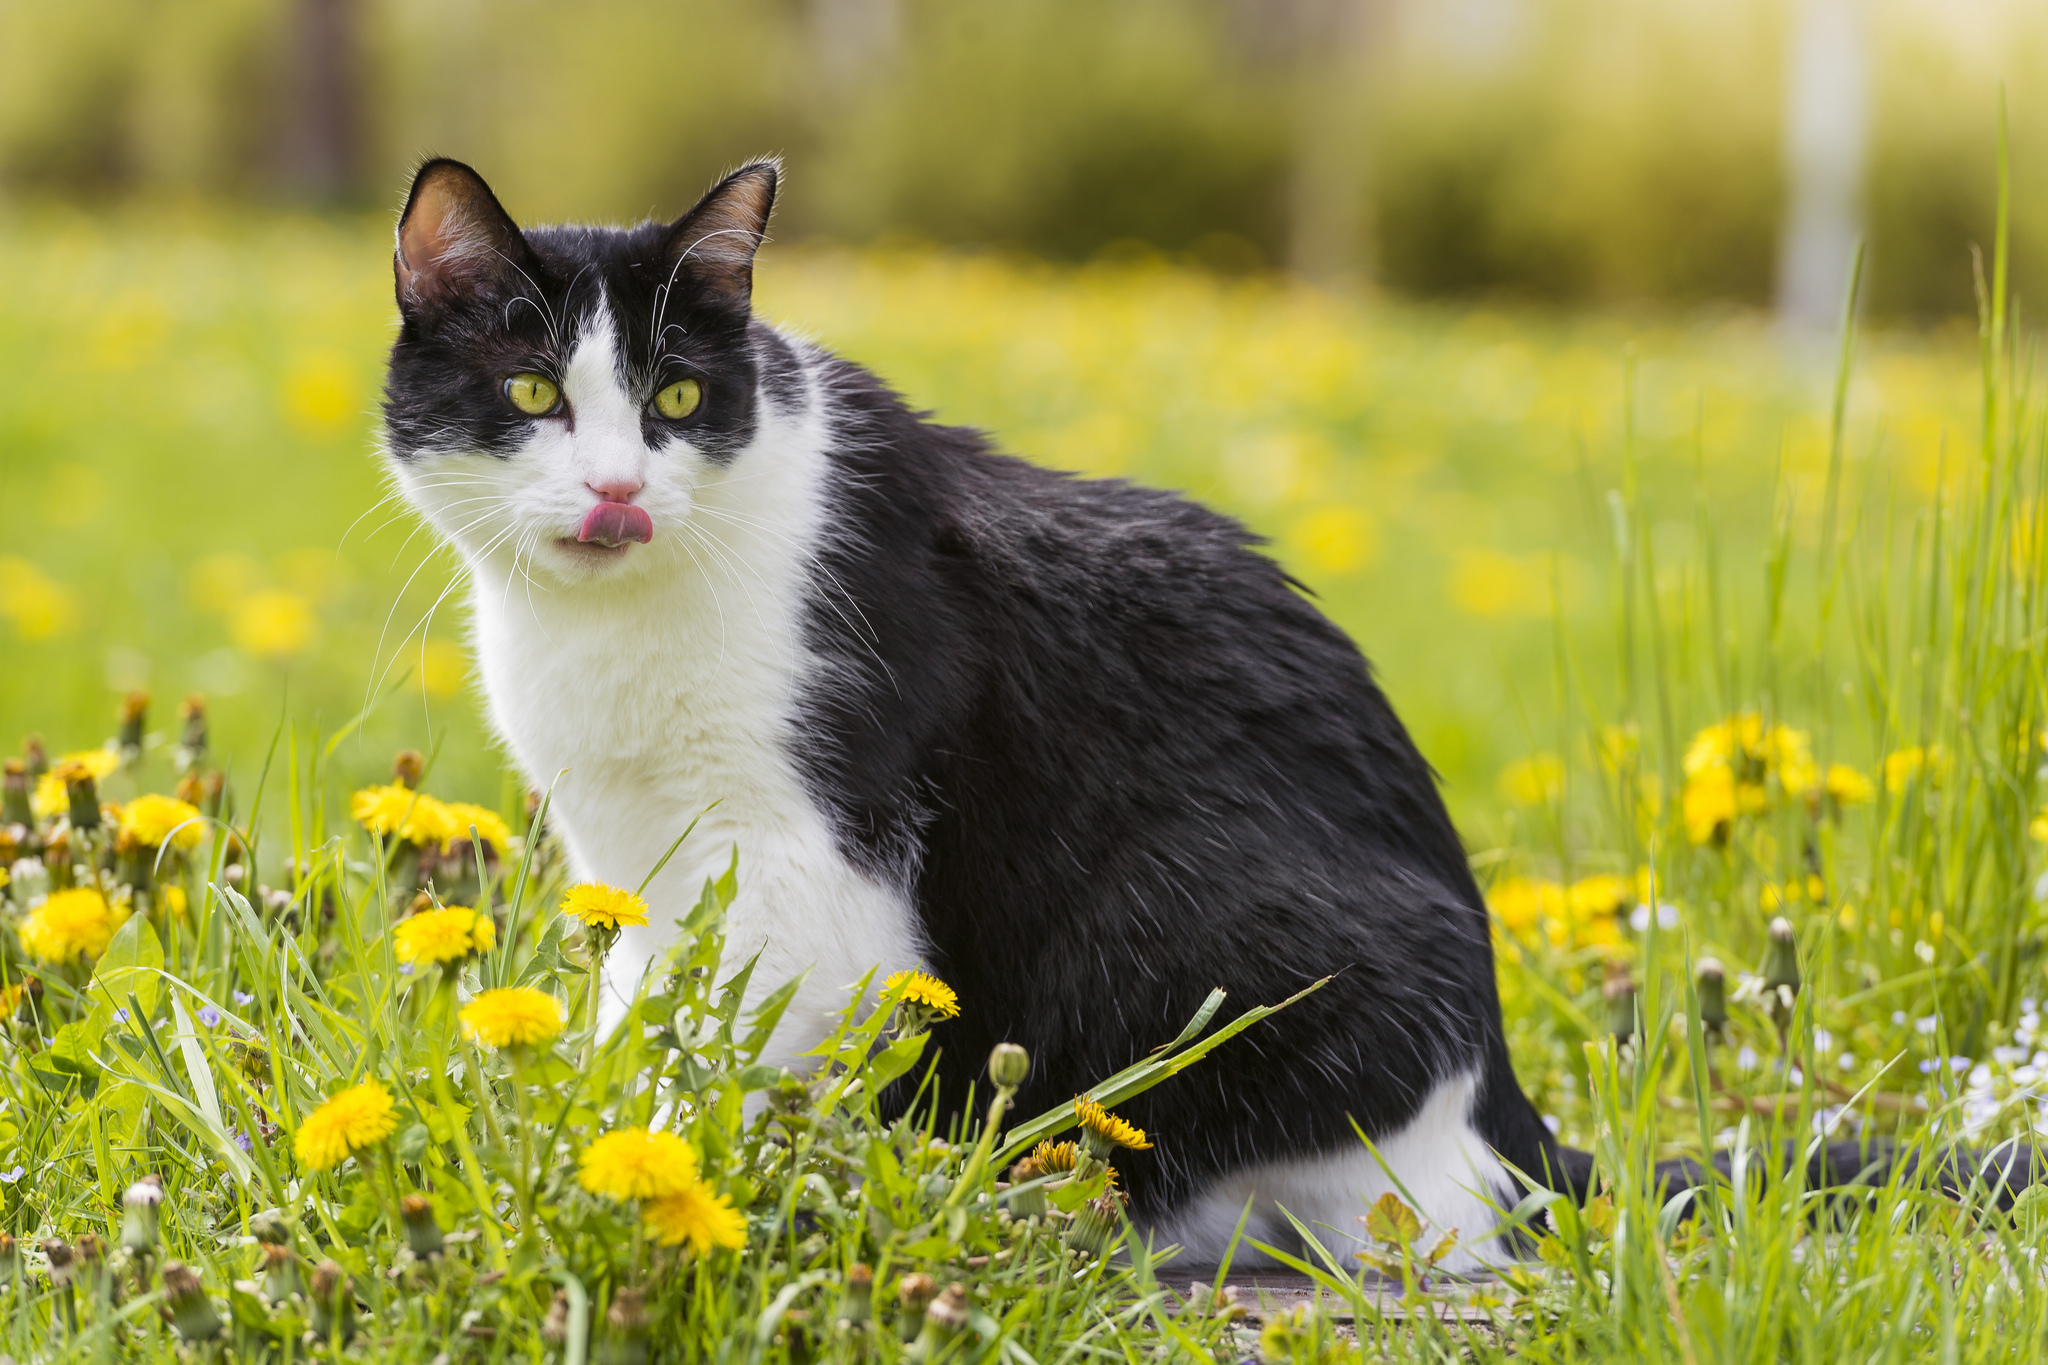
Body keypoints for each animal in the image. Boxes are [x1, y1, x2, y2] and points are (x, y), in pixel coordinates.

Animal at [380, 157, 2031, 1268]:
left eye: (672, 401)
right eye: (531, 394)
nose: (616, 491)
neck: (606, 632)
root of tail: (1513, 1113)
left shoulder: (811, 860)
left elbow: (740, 1047)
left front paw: (673, 1182)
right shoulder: (633, 860)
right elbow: (637, 1013)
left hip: (1201, 942)